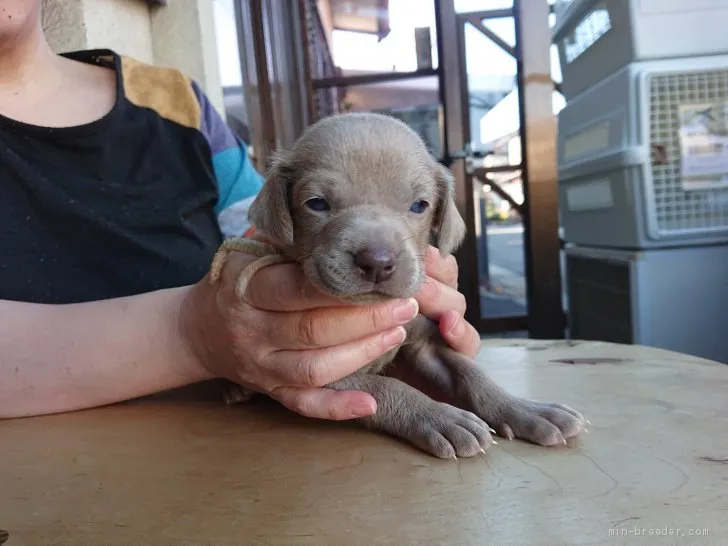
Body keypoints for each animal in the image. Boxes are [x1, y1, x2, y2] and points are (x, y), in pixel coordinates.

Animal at [210, 112, 584, 456]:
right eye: (316, 204)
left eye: (419, 205)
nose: (377, 261)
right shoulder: (322, 373)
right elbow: (388, 387)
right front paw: (441, 417)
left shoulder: (426, 341)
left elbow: (472, 375)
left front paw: (526, 409)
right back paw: (234, 388)